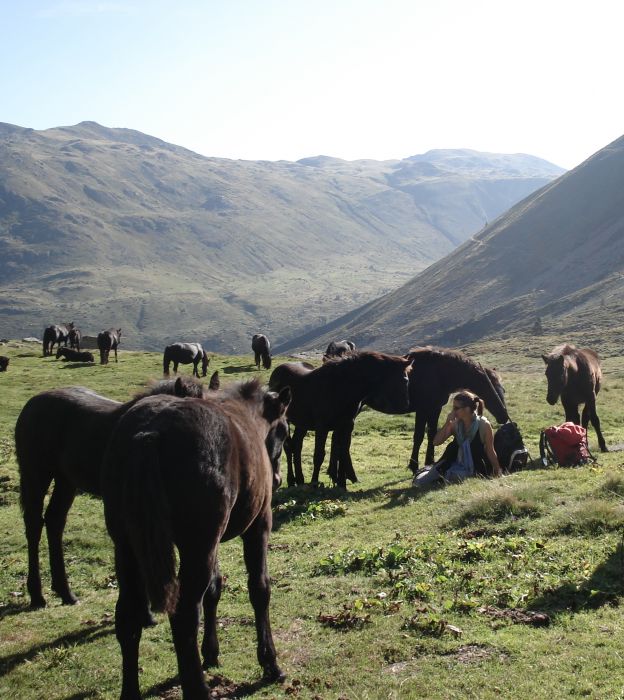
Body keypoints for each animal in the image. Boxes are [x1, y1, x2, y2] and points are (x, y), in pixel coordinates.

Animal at [14, 374, 217, 608]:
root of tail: (32, 403)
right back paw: (37, 595)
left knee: (55, 521)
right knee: (34, 524)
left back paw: (65, 592)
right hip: (36, 474)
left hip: (66, 480)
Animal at [101, 380, 292, 696]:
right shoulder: (258, 526)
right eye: (284, 431)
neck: (248, 417)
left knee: (127, 617)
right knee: (184, 613)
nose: (276, 480)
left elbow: (214, 589)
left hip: (127, 548)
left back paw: (131, 691)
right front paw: (270, 662)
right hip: (196, 547)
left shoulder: (212, 543)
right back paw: (198, 689)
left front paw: (211, 652)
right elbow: (259, 589)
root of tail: (149, 432)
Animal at [270, 352, 412, 490]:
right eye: (405, 380)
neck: (340, 387)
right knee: (289, 448)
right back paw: (291, 481)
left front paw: (342, 484)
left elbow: (342, 452)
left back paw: (300, 479)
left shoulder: (346, 425)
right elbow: (319, 455)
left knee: (297, 446)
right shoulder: (322, 427)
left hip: (302, 424)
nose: (406, 405)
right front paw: (315, 483)